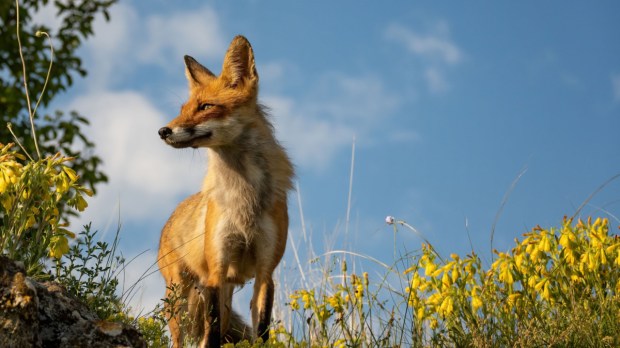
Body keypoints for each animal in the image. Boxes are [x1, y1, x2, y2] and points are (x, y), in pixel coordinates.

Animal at [156, 36, 294, 348]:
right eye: (183, 109)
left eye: (206, 106)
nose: (163, 131)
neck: (244, 198)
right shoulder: (216, 271)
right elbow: (213, 334)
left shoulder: (265, 273)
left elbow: (261, 330)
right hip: (178, 298)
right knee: (184, 338)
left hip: (224, 297)